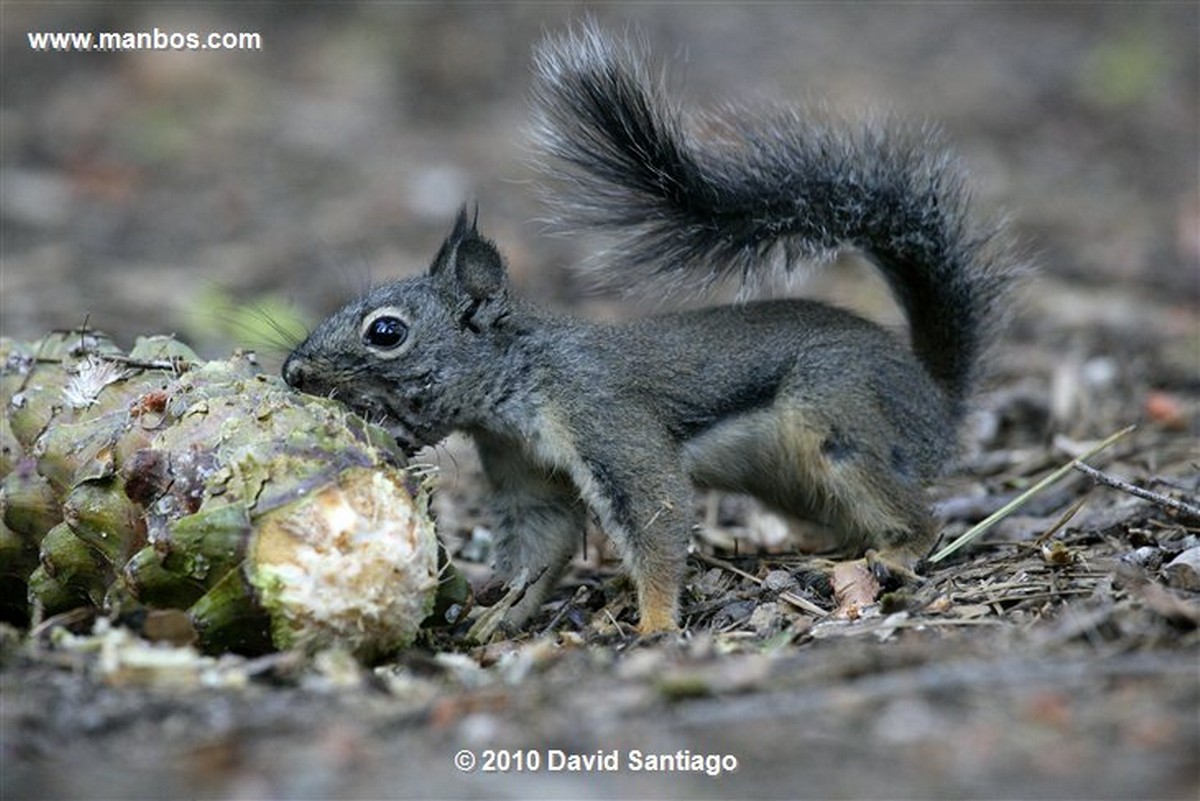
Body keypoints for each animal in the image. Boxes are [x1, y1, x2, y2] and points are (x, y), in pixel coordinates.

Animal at [280, 25, 1022, 633]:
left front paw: (656, 624)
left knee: (916, 510)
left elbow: (654, 514)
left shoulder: (604, 415)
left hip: (839, 414)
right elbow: (544, 540)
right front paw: (500, 618)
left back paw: (895, 552)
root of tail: (934, 399)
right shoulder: (519, 463)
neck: (523, 383)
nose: (293, 371)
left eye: (385, 332)